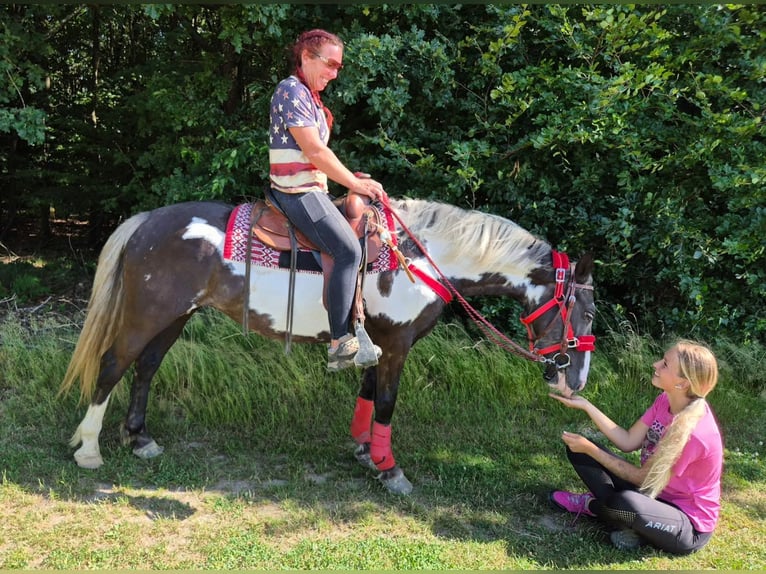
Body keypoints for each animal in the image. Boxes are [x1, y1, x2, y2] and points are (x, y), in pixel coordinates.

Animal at [59, 197, 596, 494]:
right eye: (588, 313)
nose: (576, 381)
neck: (422, 257)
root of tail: (147, 221)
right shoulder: (397, 344)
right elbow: (386, 401)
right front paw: (390, 470)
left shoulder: (377, 342)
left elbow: (367, 394)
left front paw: (365, 452)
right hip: (148, 313)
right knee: (113, 364)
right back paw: (89, 450)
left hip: (174, 316)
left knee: (146, 367)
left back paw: (140, 439)